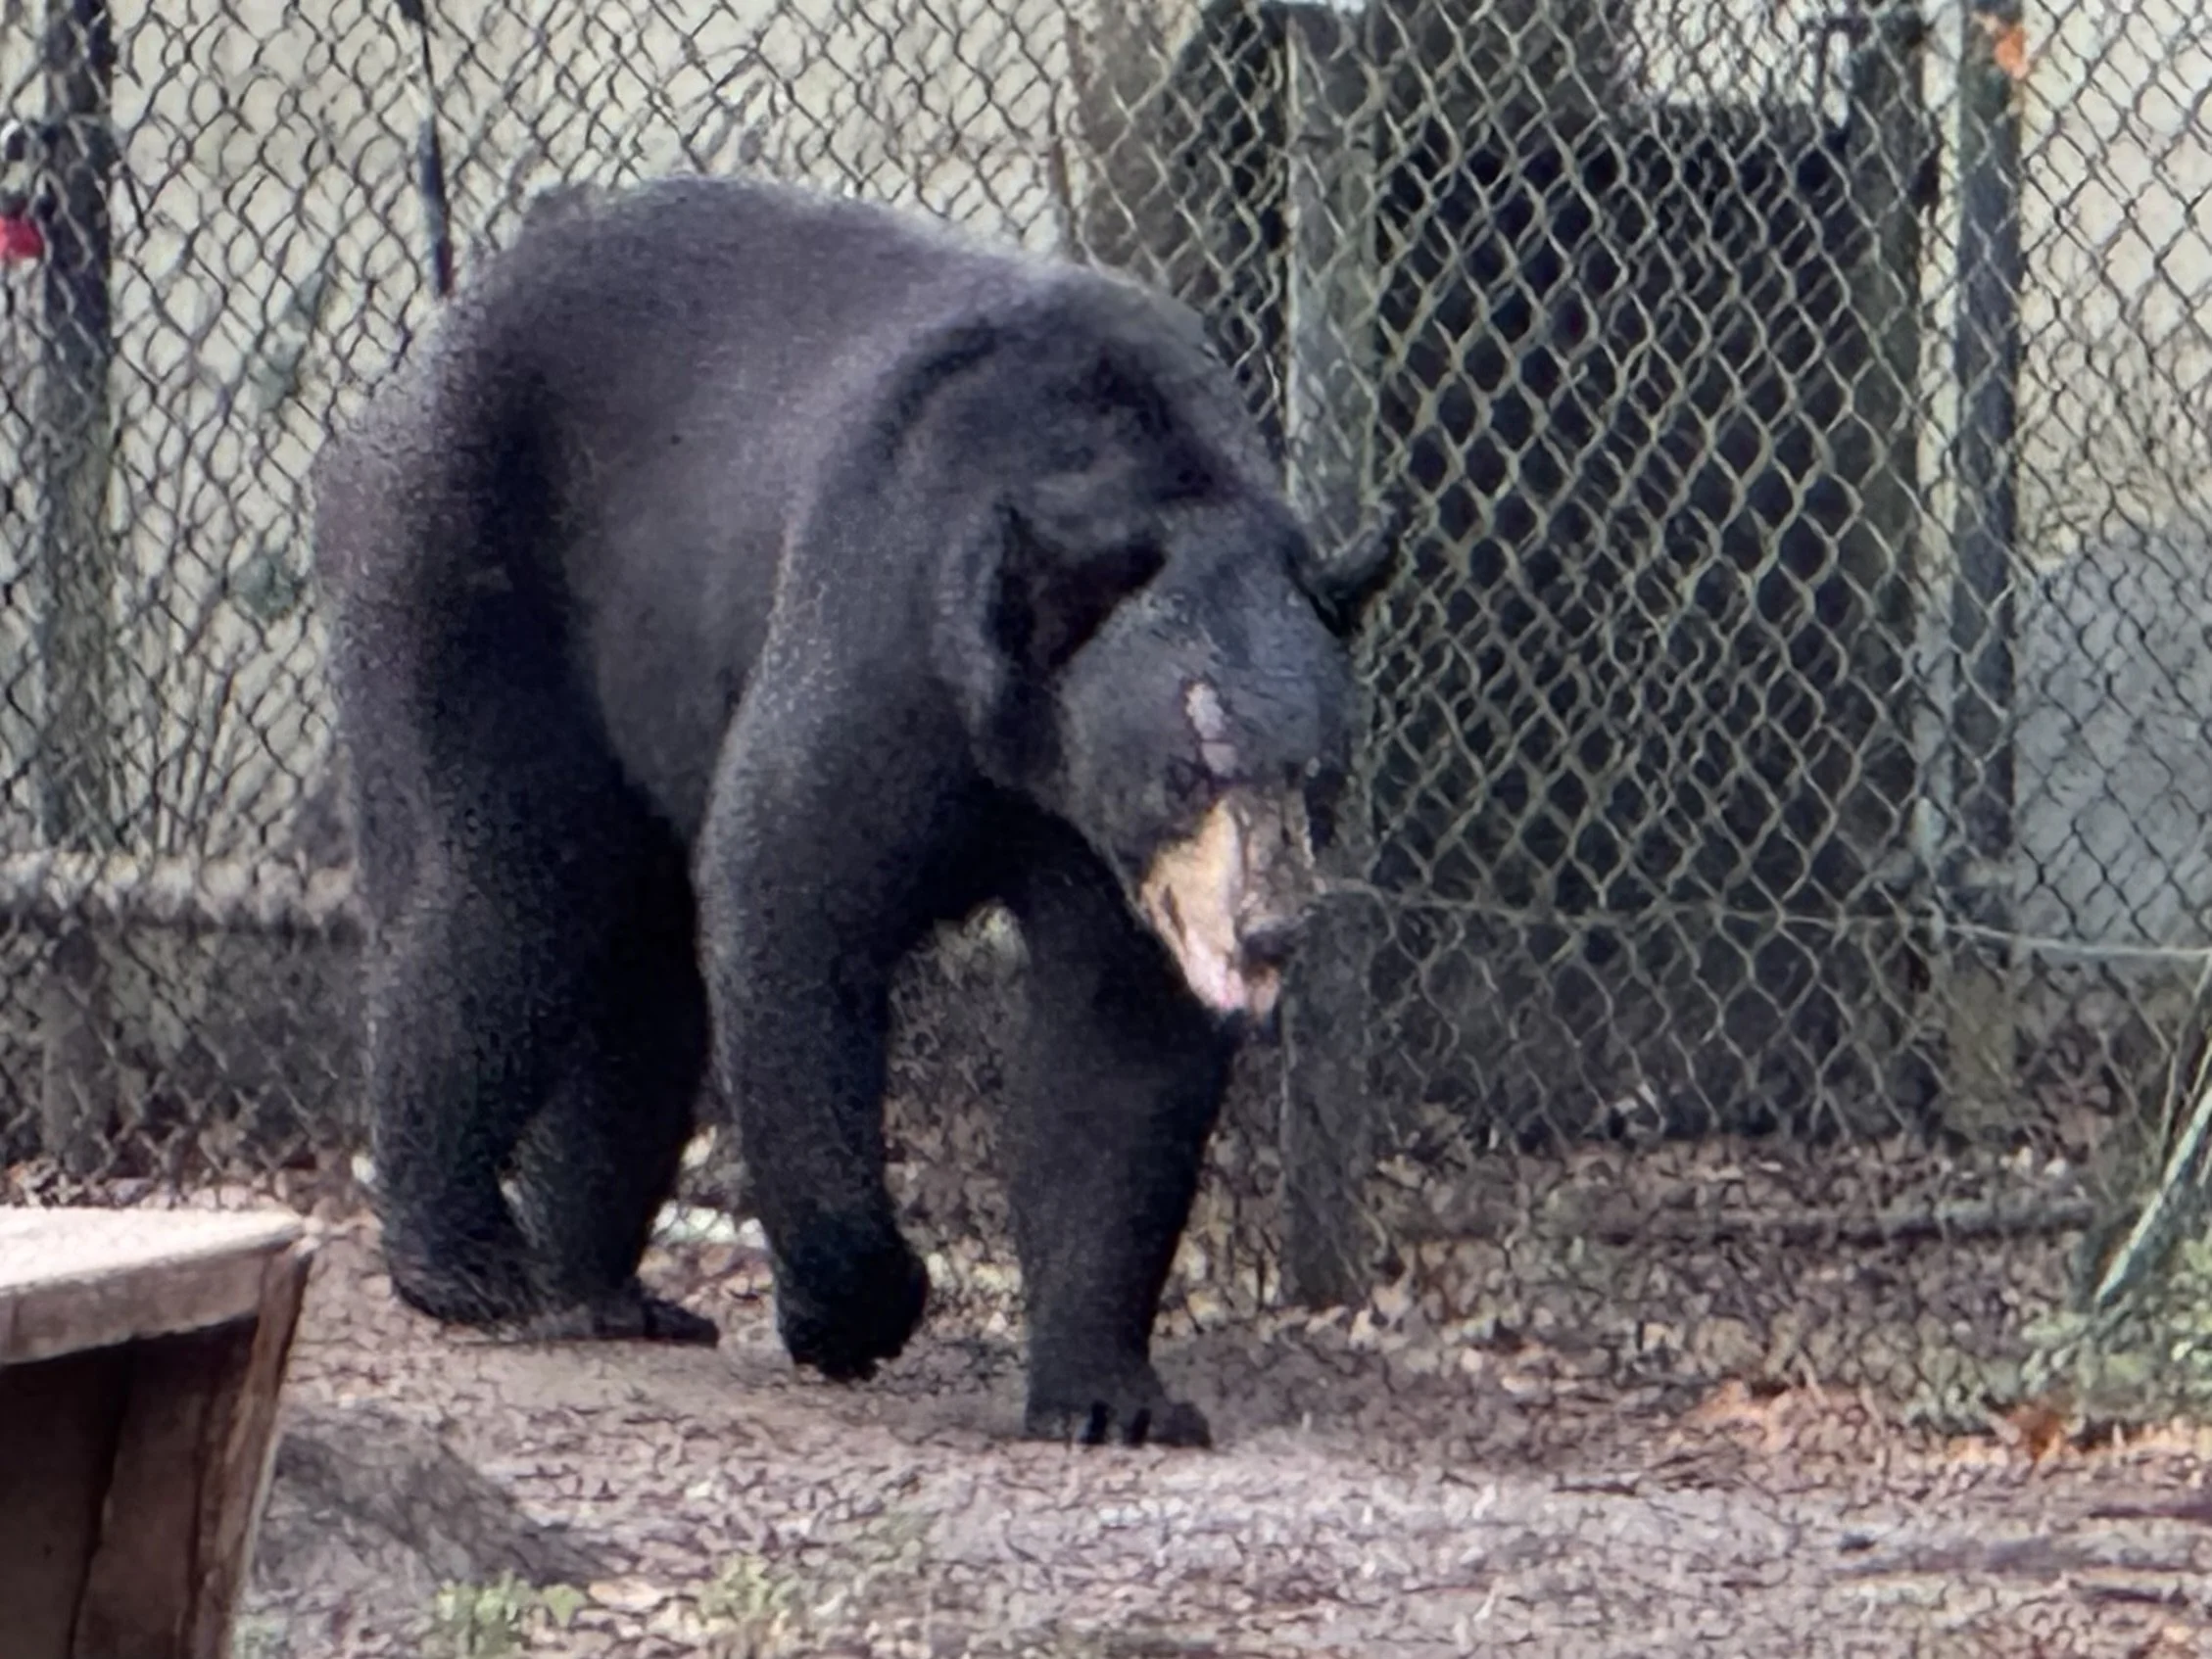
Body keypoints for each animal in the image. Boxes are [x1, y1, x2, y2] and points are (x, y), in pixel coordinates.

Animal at [310, 173, 1395, 1447]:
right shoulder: (882, 628)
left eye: (1319, 772)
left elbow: (1118, 1044)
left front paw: (1108, 1394)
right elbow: (792, 894)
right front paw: (858, 1305)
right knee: (505, 892)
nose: (1266, 928)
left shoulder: (1100, 841)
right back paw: (469, 1258)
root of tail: (426, 348)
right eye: (1189, 768)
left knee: (641, 969)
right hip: (465, 576)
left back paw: (604, 1284)